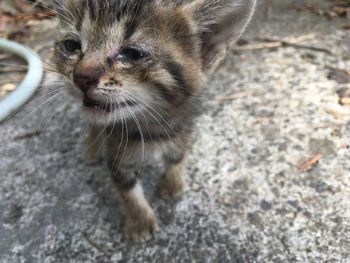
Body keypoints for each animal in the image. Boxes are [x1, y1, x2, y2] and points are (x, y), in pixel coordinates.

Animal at [54, 0, 258, 241]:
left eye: (132, 54)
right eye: (71, 45)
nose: (81, 77)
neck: (151, 127)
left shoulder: (183, 127)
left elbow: (177, 157)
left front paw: (172, 182)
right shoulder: (117, 153)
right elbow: (127, 189)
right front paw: (140, 220)